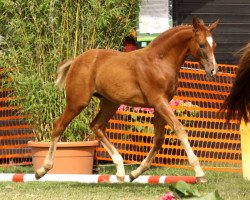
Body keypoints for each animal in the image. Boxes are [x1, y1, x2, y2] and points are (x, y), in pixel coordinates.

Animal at [35, 17, 219, 183]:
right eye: (201, 45)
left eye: (214, 45)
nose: (213, 70)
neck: (159, 61)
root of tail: (76, 60)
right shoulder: (159, 101)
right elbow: (179, 129)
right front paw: (199, 173)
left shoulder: (160, 104)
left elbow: (159, 139)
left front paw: (135, 173)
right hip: (77, 102)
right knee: (59, 125)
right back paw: (42, 170)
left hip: (110, 103)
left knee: (96, 126)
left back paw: (121, 171)